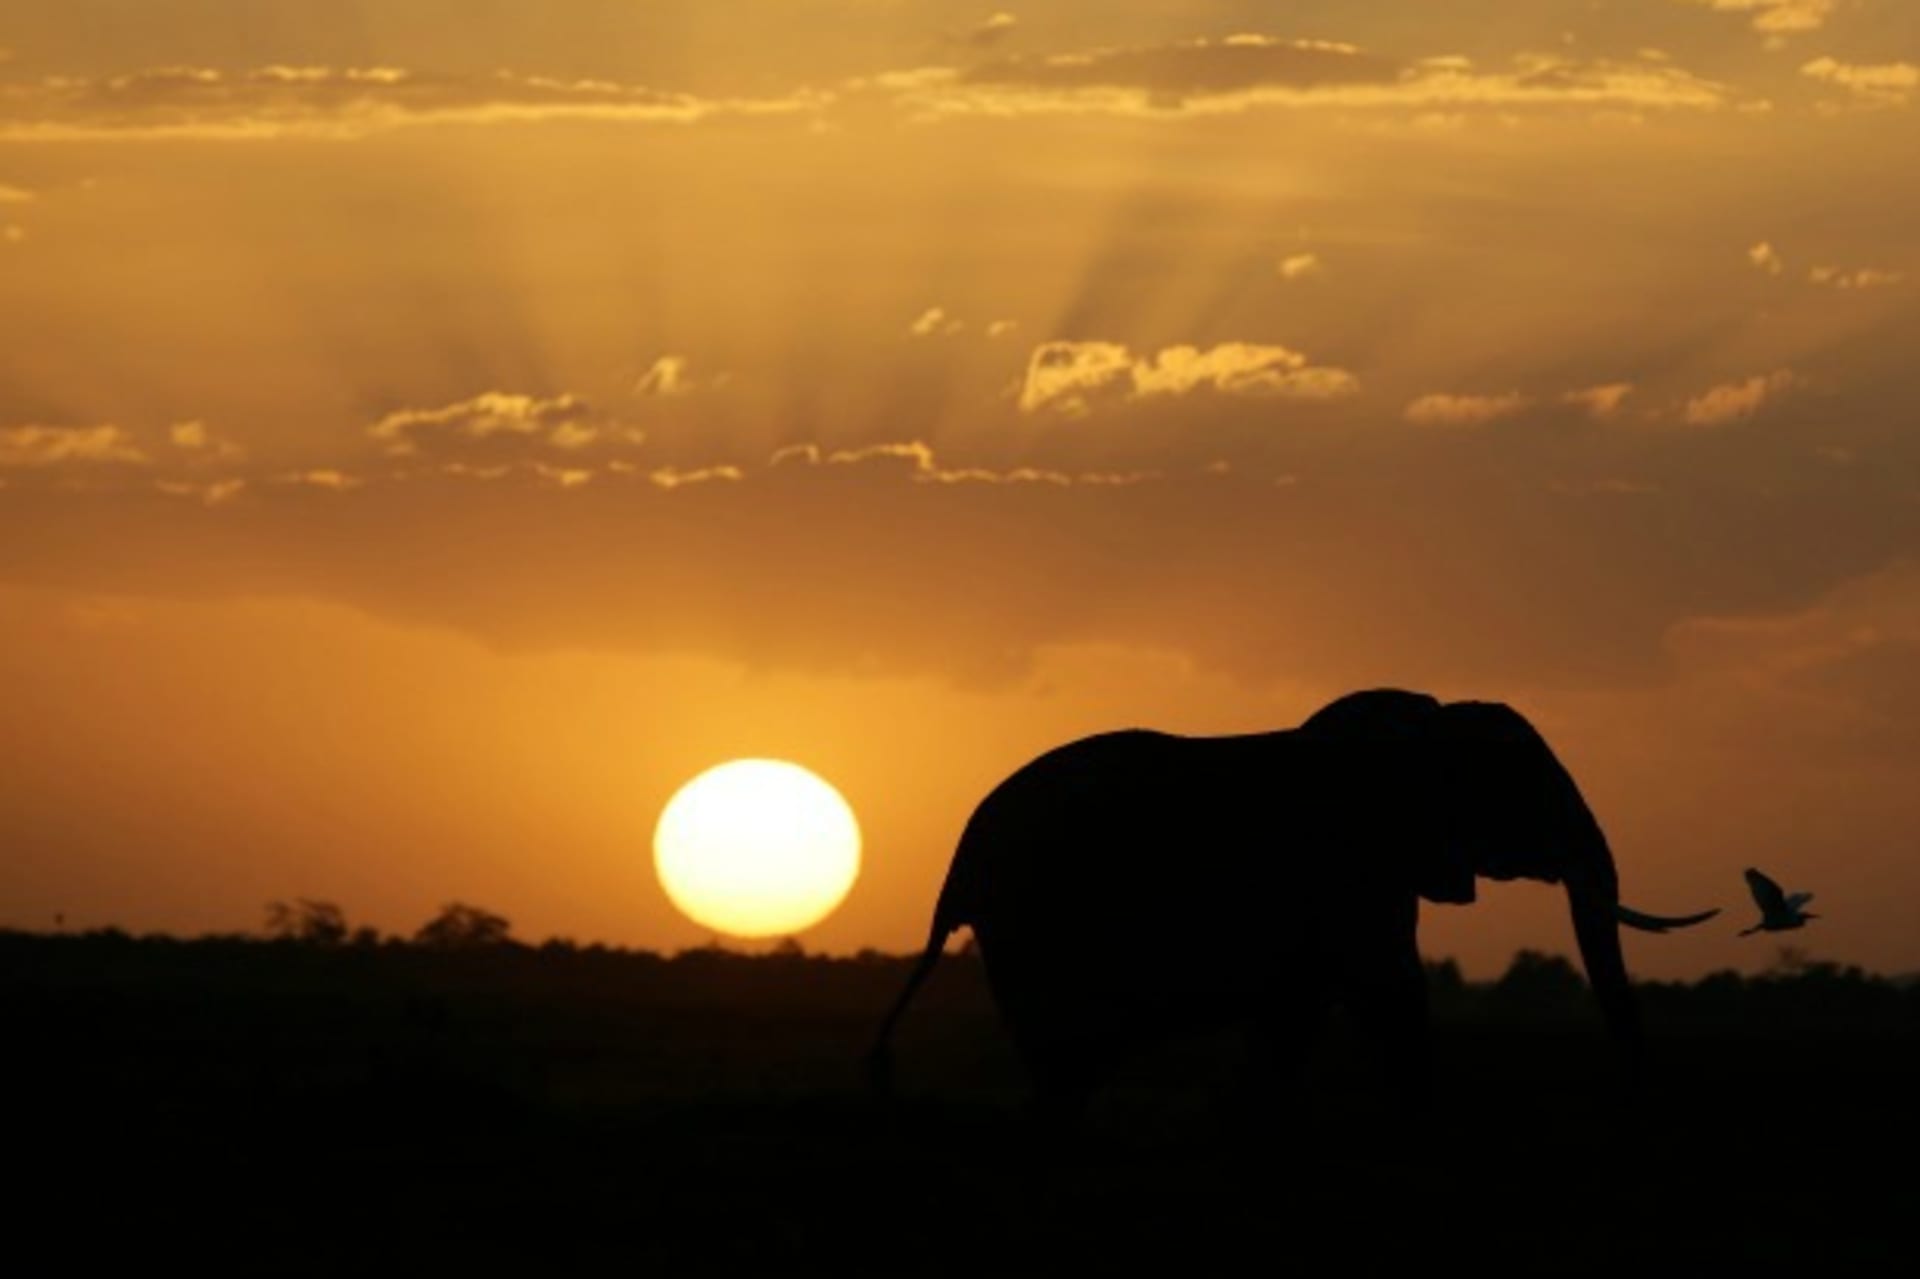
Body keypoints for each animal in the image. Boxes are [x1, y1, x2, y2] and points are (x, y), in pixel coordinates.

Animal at [868, 688, 1718, 1116]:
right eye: (1524, 792)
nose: (1636, 1094)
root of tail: (958, 864)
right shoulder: (1351, 866)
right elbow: (1390, 996)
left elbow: (1296, 1016)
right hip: (1037, 922)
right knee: (1068, 1057)